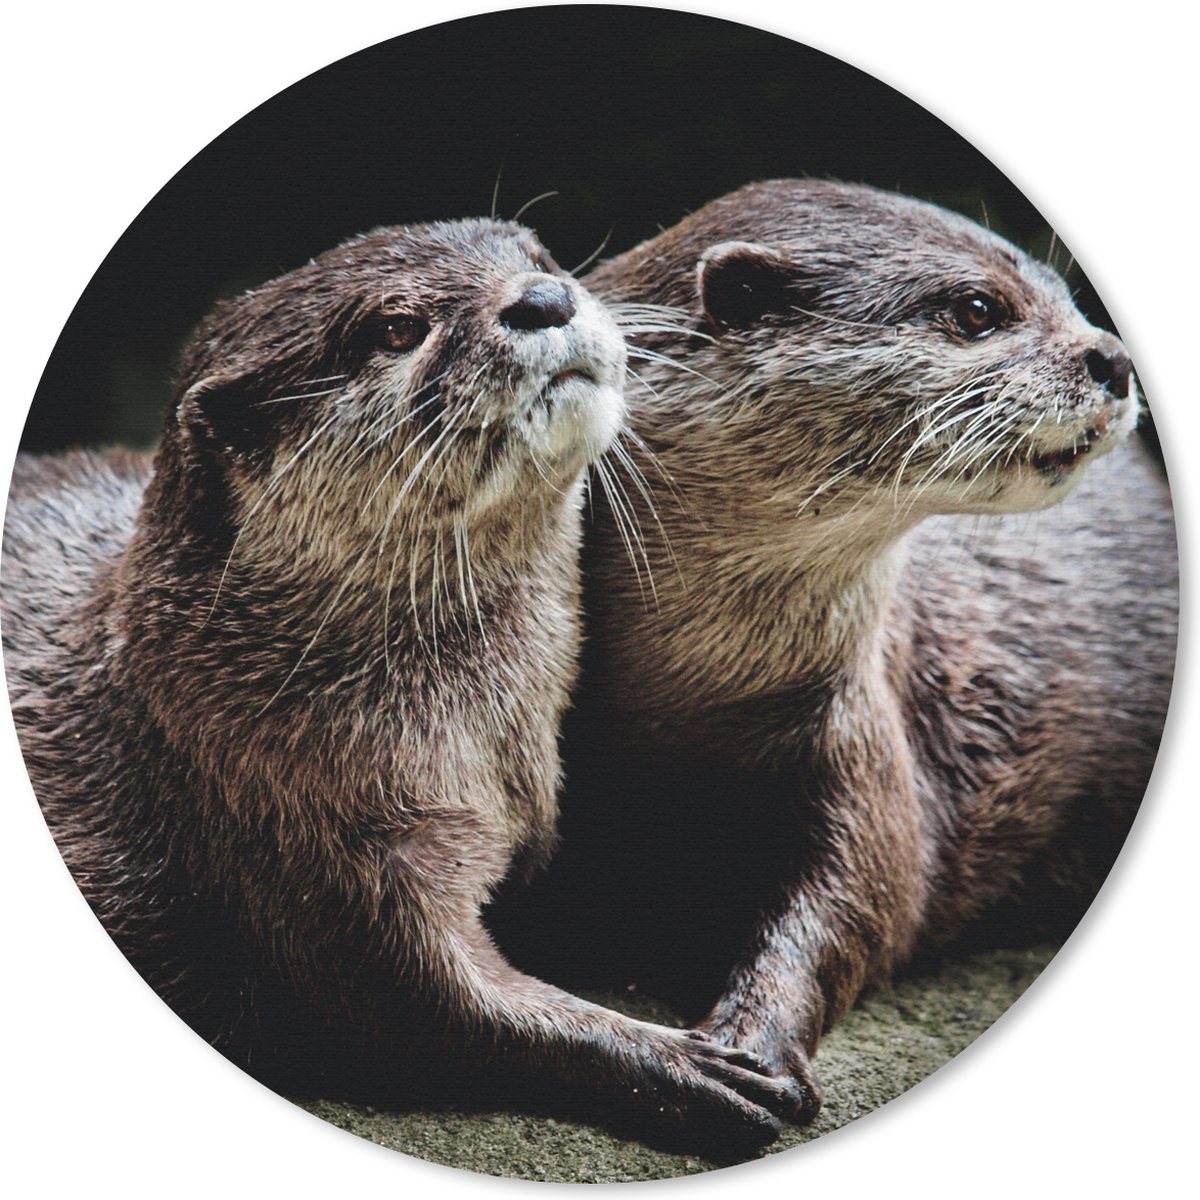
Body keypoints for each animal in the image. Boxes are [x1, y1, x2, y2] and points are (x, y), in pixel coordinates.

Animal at [1, 218, 802, 1154]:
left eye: (539, 259)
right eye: (395, 329)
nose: (544, 299)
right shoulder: (300, 833)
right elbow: (427, 1008)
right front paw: (686, 1063)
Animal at [492, 181, 1177, 1123]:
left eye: (1068, 297)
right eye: (978, 310)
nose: (1111, 358)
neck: (691, 695)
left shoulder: (862, 730)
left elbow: (864, 897)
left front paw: (755, 1043)